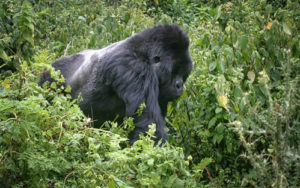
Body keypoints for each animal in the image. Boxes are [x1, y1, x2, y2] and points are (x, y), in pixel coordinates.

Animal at [39, 23, 192, 144]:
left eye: (183, 74)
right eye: (174, 71)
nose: (180, 86)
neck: (145, 53)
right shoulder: (134, 67)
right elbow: (149, 124)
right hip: (49, 78)